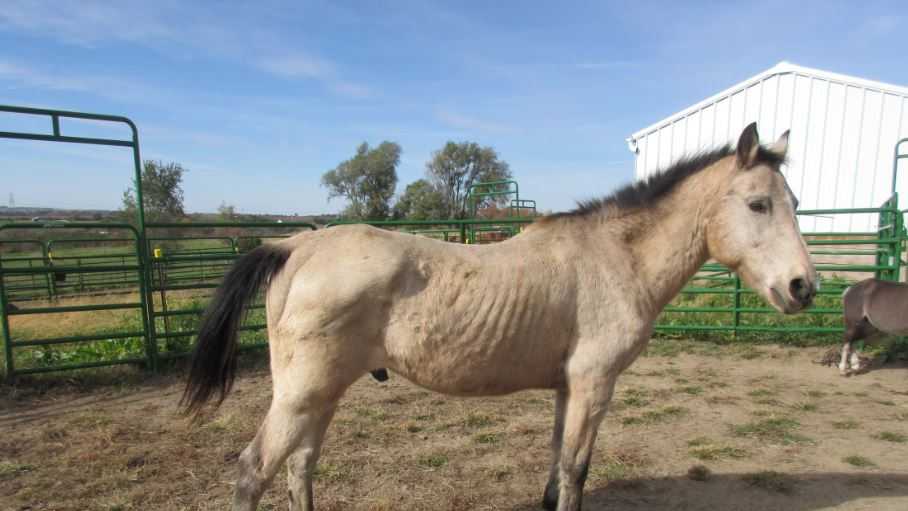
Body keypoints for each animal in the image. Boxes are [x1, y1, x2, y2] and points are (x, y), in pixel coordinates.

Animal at [181, 122, 817, 511]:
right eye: (758, 204)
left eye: (795, 203)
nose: (803, 287)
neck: (615, 256)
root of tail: (297, 247)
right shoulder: (594, 384)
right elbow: (577, 468)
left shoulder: (568, 387)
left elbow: (559, 462)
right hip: (302, 395)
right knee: (254, 470)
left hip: (321, 395)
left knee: (300, 466)